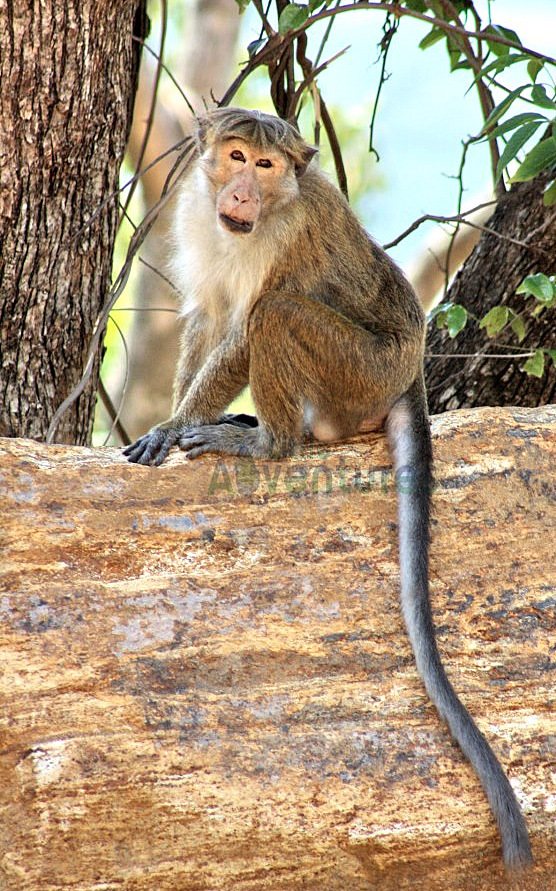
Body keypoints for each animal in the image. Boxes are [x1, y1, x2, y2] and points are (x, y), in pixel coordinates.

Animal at [124, 107, 532, 870]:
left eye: (268, 166)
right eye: (236, 156)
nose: (245, 191)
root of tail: (408, 373)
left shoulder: (291, 234)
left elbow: (244, 327)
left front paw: (175, 423)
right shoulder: (197, 211)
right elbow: (207, 316)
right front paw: (180, 410)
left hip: (356, 369)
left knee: (277, 314)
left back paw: (268, 441)